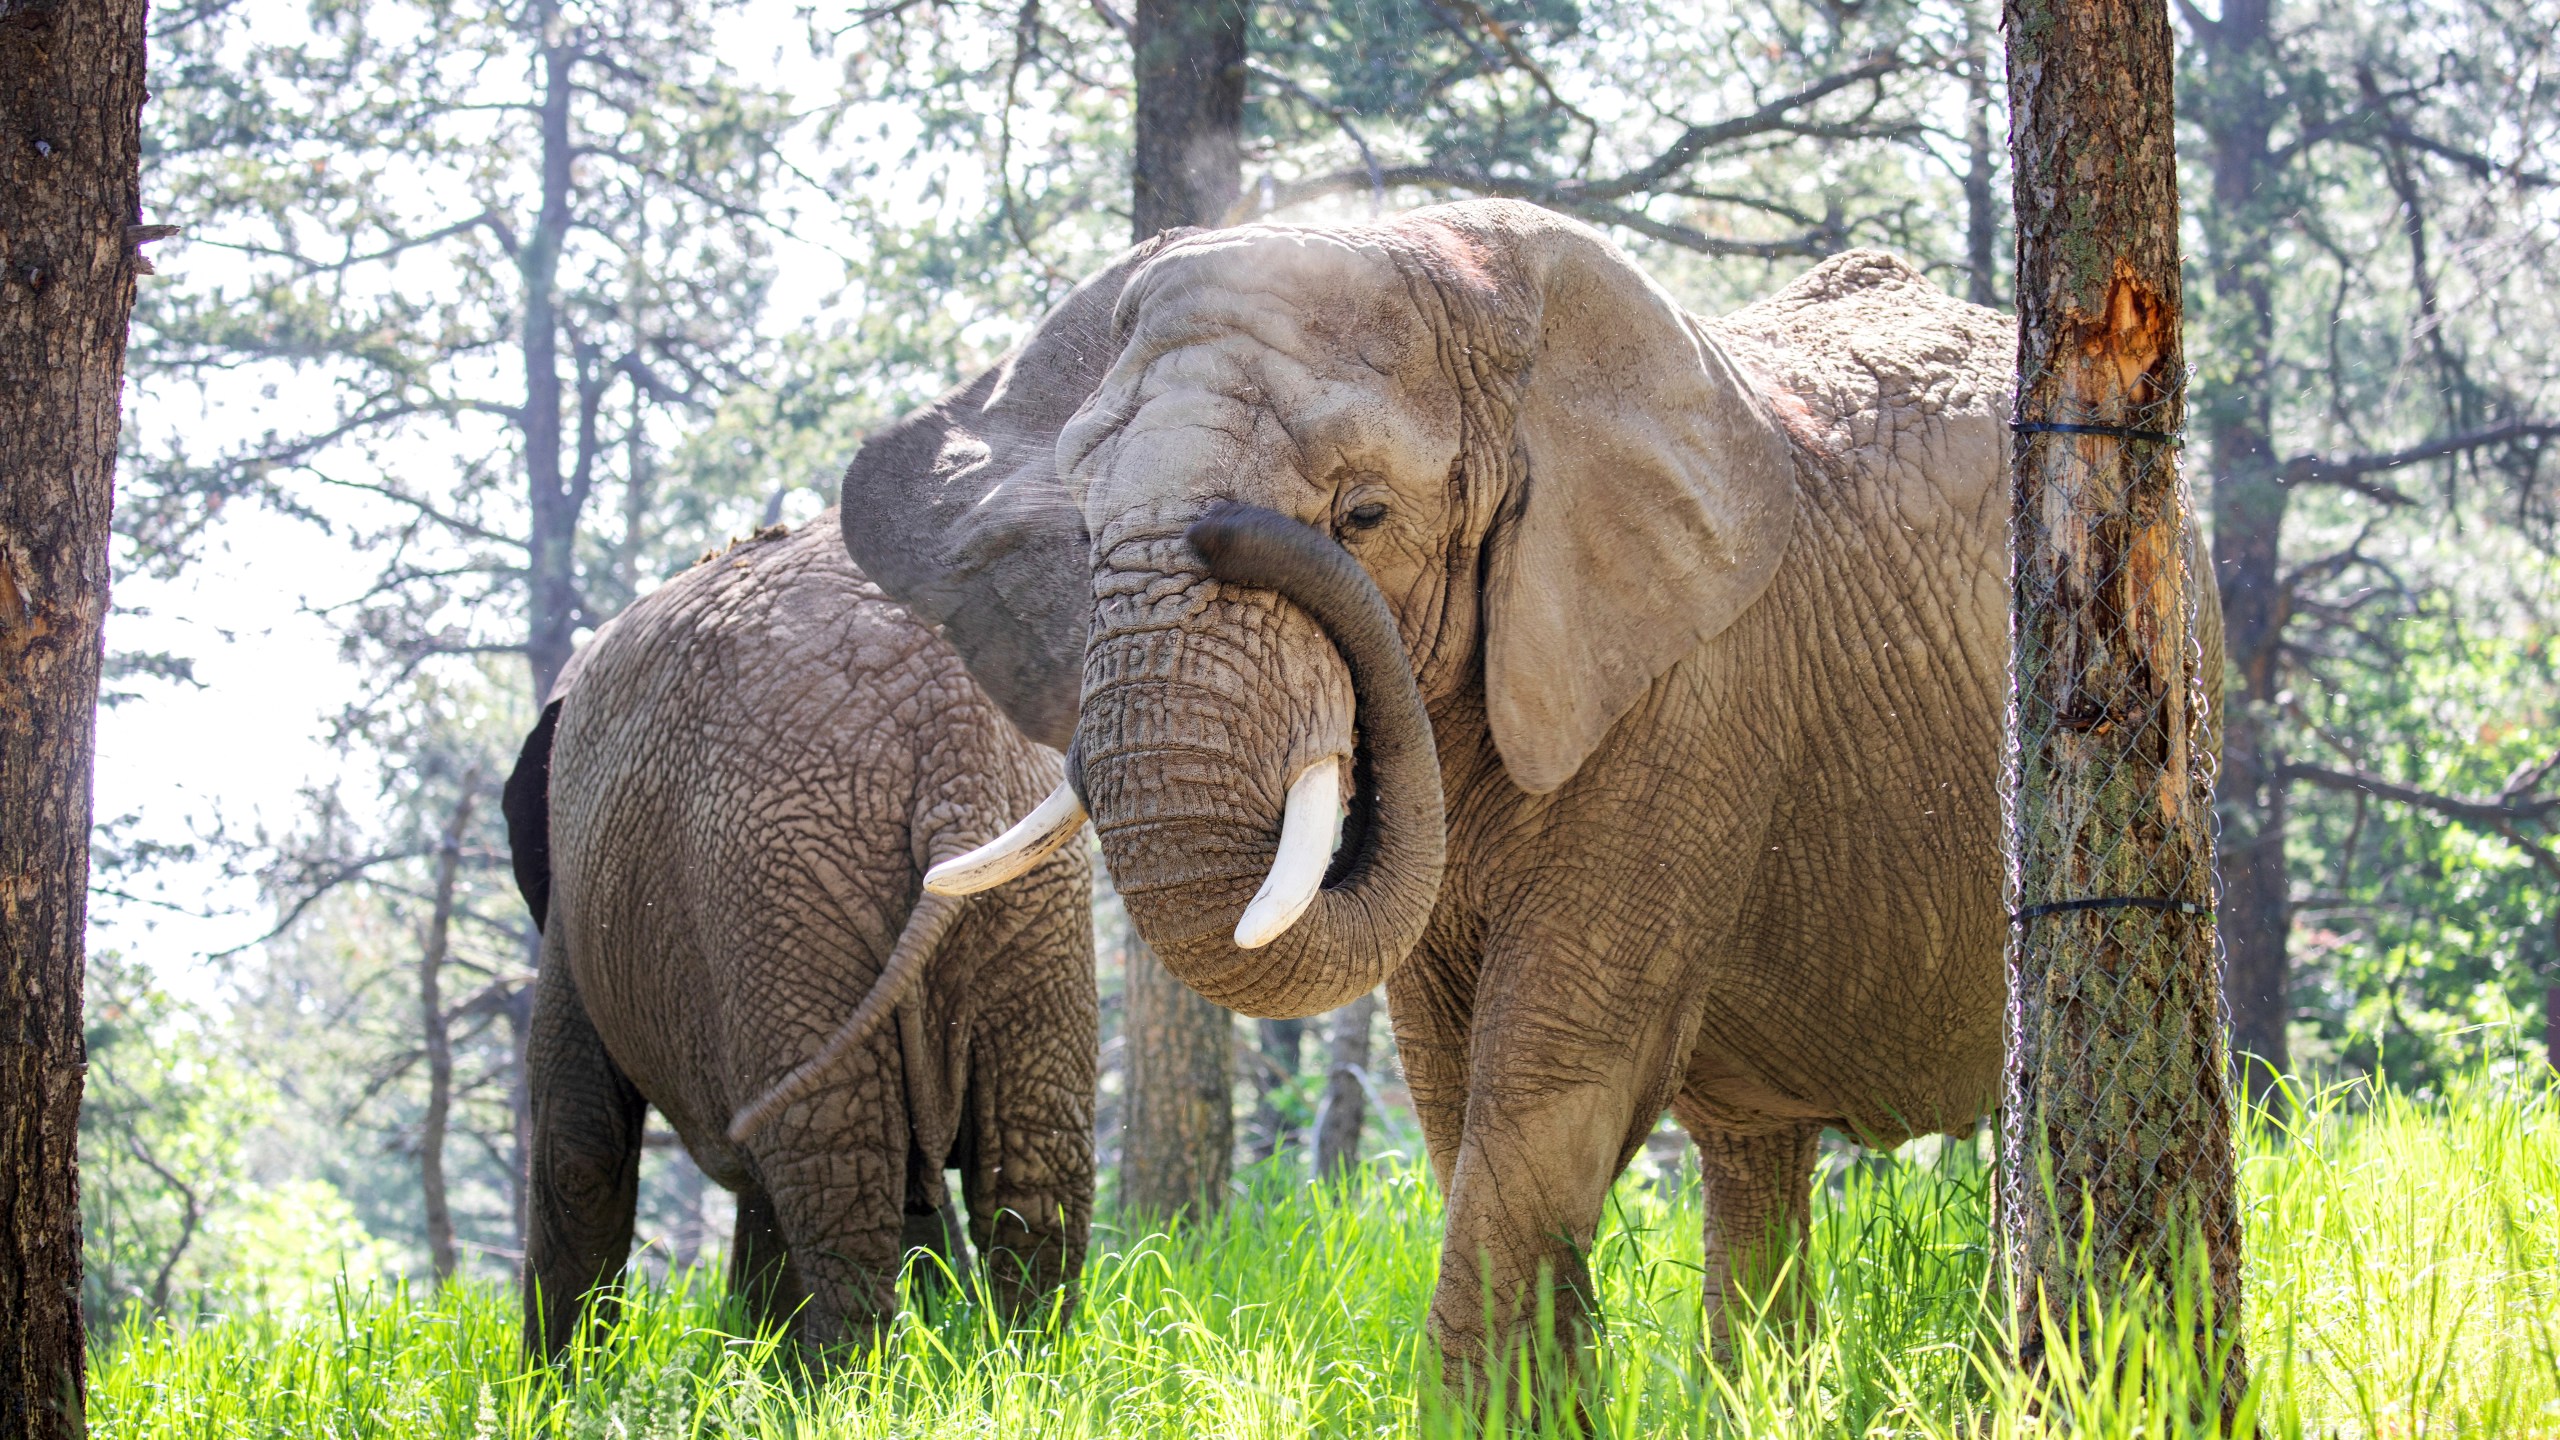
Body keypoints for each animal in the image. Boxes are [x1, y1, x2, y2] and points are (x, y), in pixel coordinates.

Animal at [504, 512, 1095, 1352]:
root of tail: (949, 738)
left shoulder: (572, 902)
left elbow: (579, 1147)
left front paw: (559, 1385)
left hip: (777, 886)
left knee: (835, 1173)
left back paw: (840, 1378)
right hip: (1028, 899)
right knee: (1031, 1176)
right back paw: (1022, 1368)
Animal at [839, 198, 2222, 1383]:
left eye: (1364, 513)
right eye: (1082, 535)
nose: (1232, 528)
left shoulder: (1692, 692)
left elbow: (1552, 1071)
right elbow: (1450, 1085)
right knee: (1752, 1157)